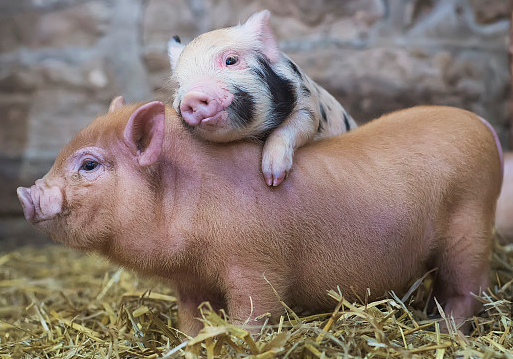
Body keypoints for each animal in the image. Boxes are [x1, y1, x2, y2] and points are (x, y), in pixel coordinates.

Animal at [17, 100, 500, 336]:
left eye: (89, 165)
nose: (26, 193)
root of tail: (484, 126)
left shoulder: (257, 265)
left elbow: (254, 313)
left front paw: (241, 340)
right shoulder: (190, 280)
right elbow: (192, 318)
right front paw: (194, 343)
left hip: (471, 226)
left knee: (468, 288)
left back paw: (446, 331)